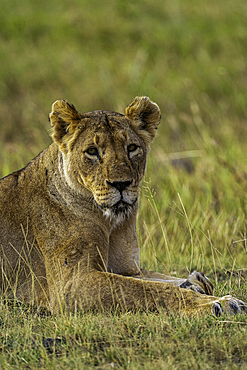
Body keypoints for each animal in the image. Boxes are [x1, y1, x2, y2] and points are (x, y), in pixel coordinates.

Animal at [0, 97, 246, 316]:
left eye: (132, 147)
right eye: (92, 151)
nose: (121, 184)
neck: (112, 222)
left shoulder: (126, 268)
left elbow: (156, 279)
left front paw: (195, 282)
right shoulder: (71, 284)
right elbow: (149, 289)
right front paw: (216, 302)